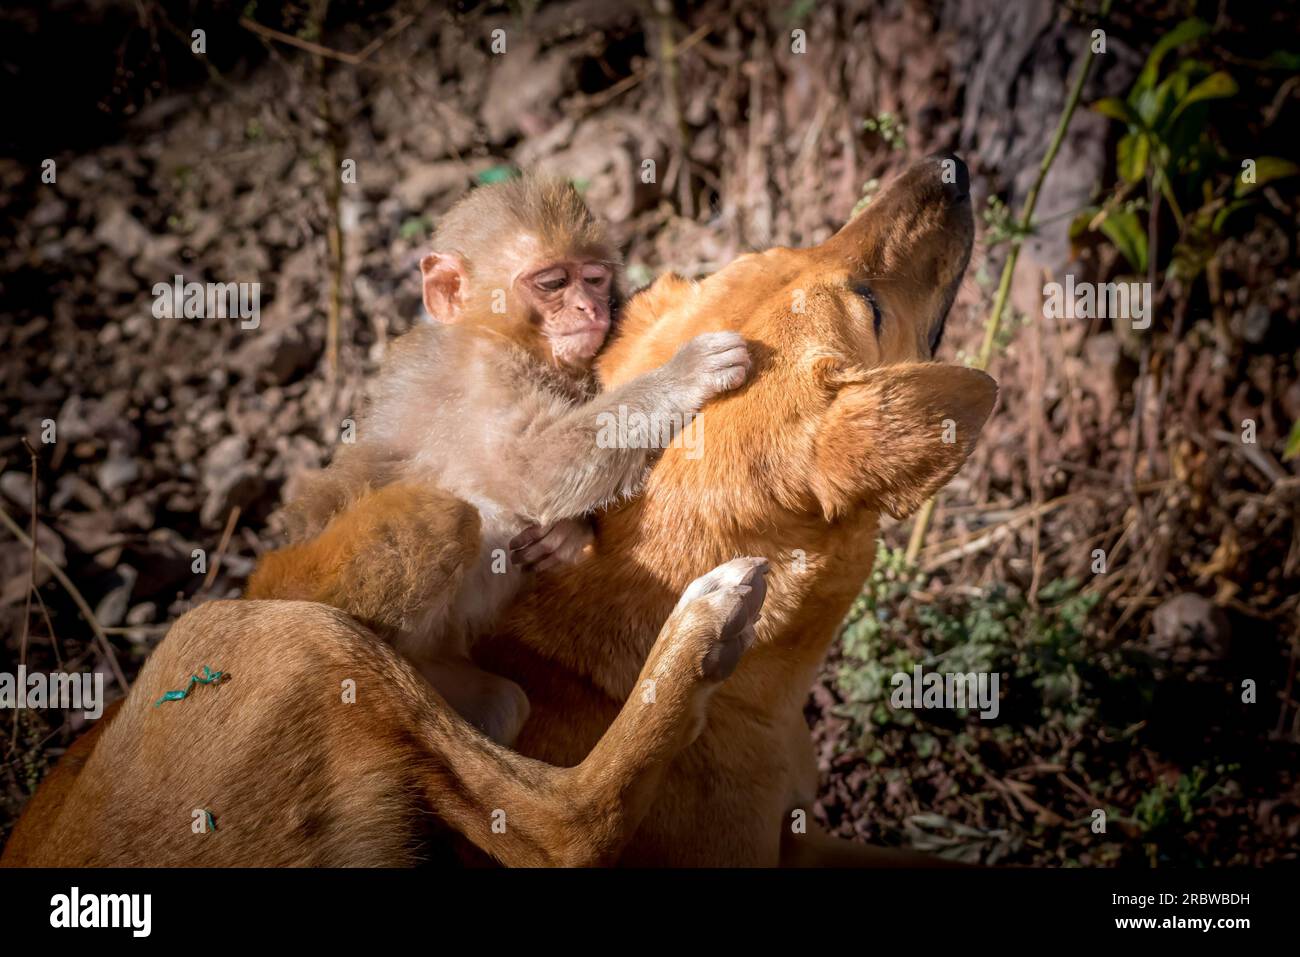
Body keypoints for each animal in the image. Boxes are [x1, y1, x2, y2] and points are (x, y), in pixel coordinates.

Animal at [247, 175, 750, 745]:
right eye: (552, 282)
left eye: (594, 278)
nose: (590, 308)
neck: (498, 336)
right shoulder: (484, 373)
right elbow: (532, 471)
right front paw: (684, 374)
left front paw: (566, 538)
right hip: (297, 585)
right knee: (442, 517)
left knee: (504, 703)